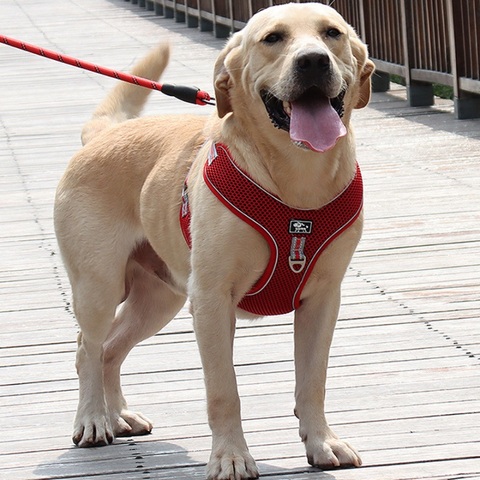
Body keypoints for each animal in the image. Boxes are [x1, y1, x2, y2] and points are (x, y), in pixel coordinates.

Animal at [53, 2, 376, 476]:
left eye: (331, 33)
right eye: (273, 38)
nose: (314, 61)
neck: (298, 181)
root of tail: (104, 134)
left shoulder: (322, 299)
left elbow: (312, 381)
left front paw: (322, 442)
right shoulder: (211, 301)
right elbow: (224, 390)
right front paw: (230, 457)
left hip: (158, 299)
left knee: (111, 349)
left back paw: (120, 414)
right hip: (99, 287)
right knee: (87, 348)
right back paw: (94, 419)